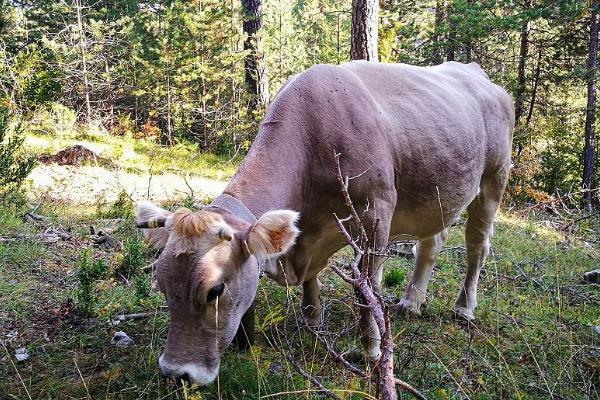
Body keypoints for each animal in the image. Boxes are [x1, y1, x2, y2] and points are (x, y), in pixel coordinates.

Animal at [137, 61, 516, 384]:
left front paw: (371, 349)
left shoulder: (376, 214)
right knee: (430, 243)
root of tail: (476, 73)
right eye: (161, 283)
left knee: (477, 246)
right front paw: (312, 320)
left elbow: (366, 289)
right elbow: (312, 277)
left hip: (494, 178)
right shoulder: (307, 233)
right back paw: (411, 302)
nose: (177, 373)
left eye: (214, 290)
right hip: (436, 193)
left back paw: (464, 308)